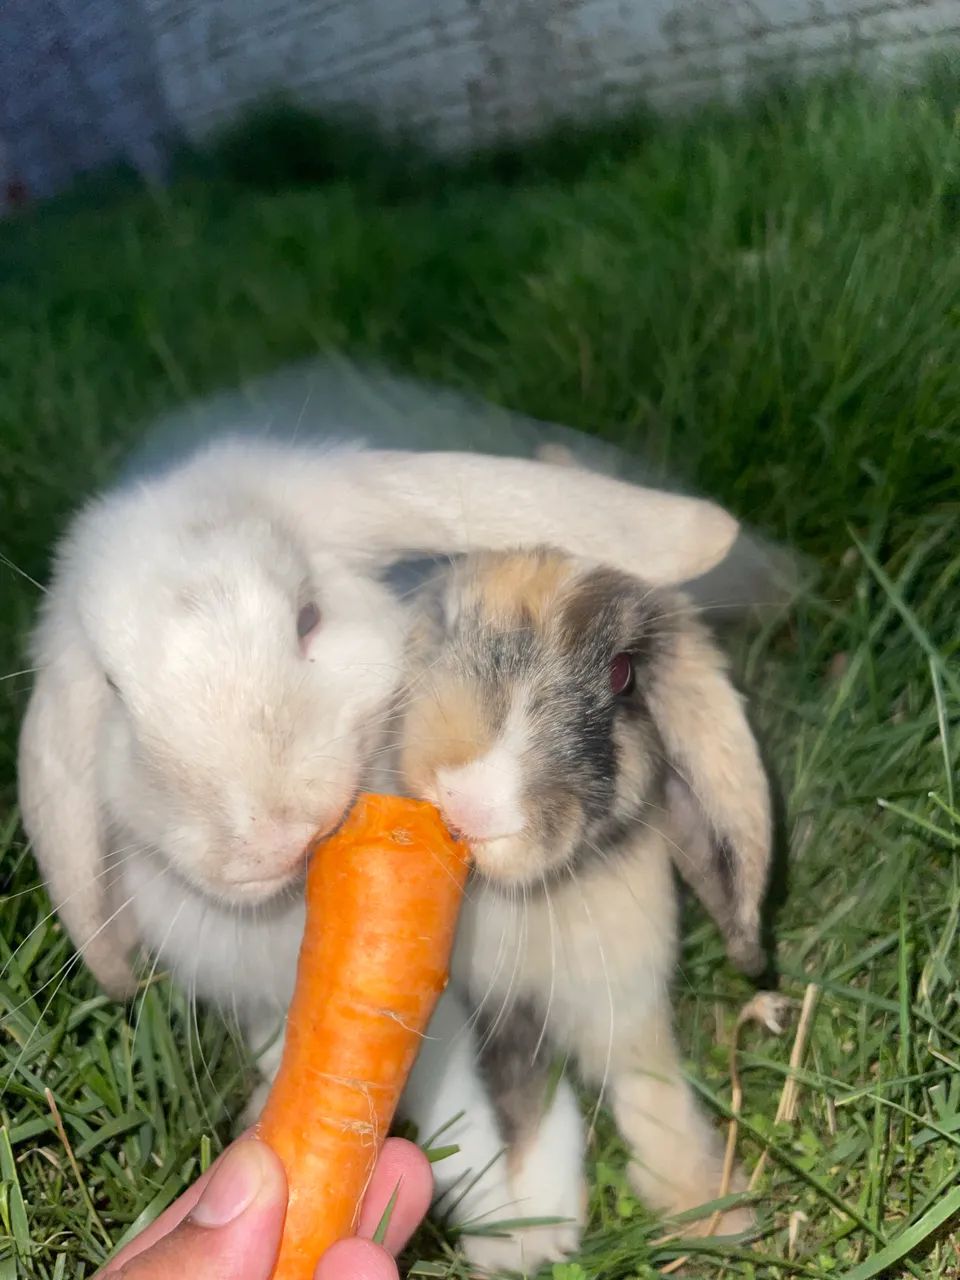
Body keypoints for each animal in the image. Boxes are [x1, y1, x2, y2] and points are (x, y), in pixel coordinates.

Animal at [382, 546, 773, 1273]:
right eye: (446, 622)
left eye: (623, 674)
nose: (465, 797)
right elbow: (517, 1095)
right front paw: (523, 1237)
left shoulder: (621, 993)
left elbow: (652, 1086)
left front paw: (711, 1206)